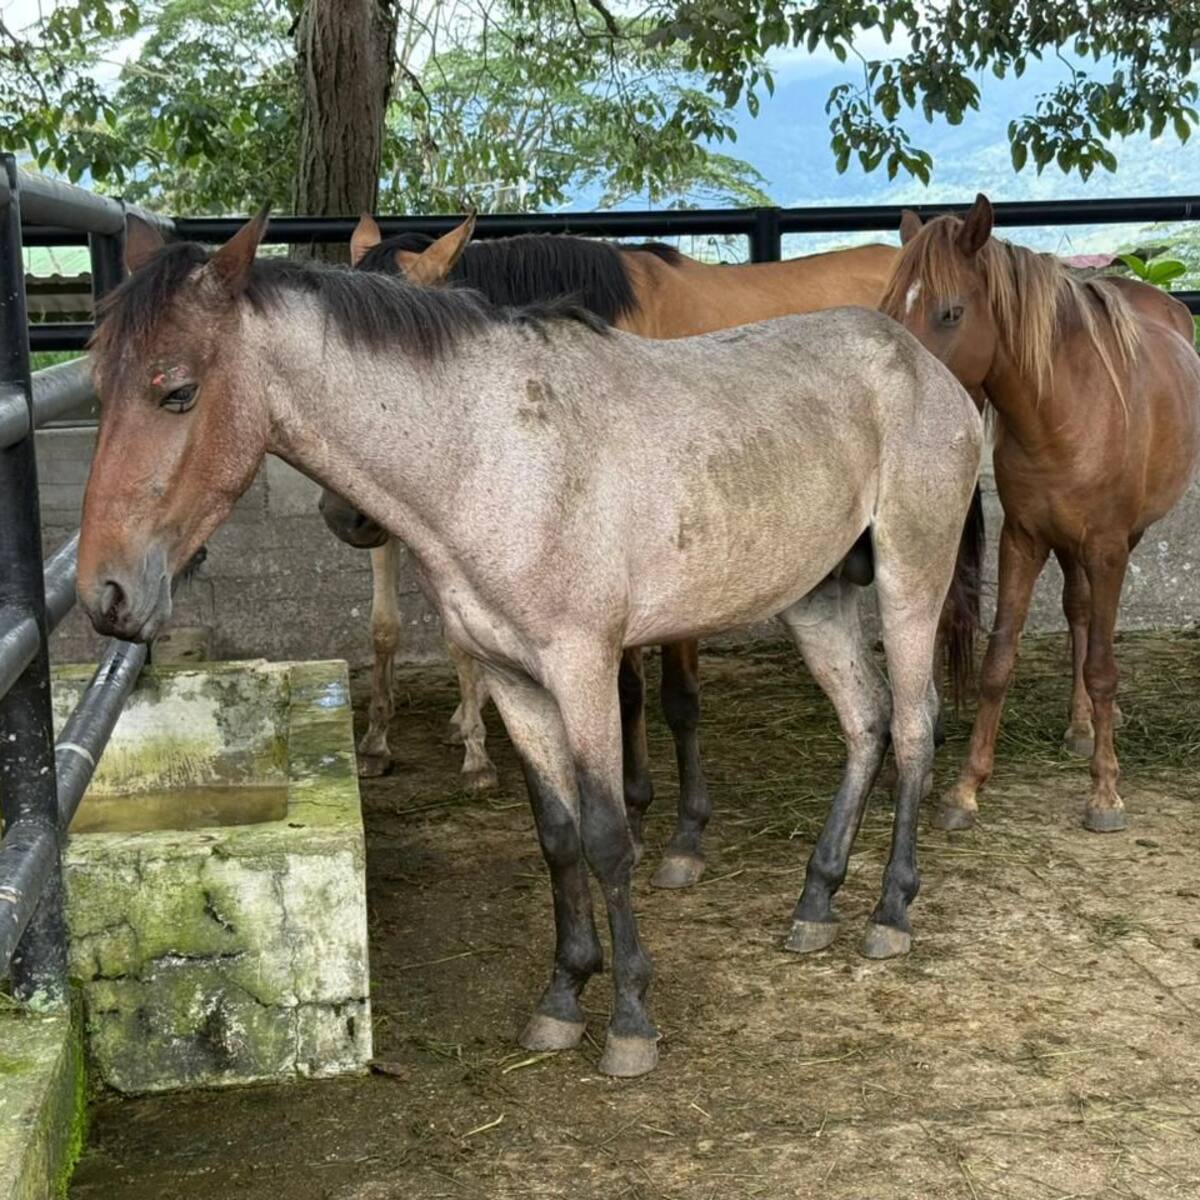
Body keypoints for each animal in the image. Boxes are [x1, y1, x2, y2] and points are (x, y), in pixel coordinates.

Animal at [882, 193, 1200, 834]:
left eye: (950, 313)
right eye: (888, 306)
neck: (1066, 409)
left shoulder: (1106, 546)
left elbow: (1103, 666)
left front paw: (1105, 792)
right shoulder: (1023, 540)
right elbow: (999, 659)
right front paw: (966, 789)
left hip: (1120, 540)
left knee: (1094, 627)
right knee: (1078, 610)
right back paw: (1079, 725)